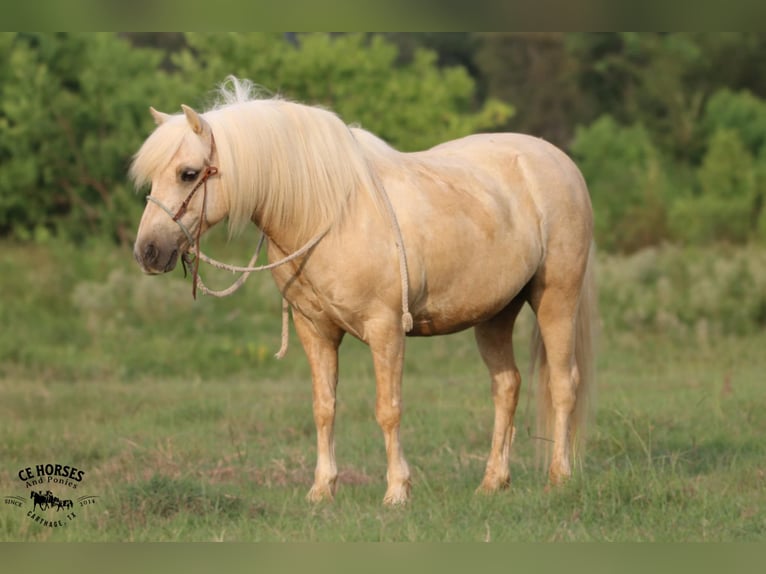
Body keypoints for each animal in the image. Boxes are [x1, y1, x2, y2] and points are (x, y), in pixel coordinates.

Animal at [131, 77, 596, 505]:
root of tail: (558, 160)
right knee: (507, 385)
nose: (147, 252)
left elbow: (388, 410)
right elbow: (324, 407)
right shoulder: (315, 330)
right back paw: (493, 482)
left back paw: (559, 478)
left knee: (562, 383)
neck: (327, 211)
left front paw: (396, 491)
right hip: (495, 313)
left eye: (188, 173)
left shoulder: (385, 329)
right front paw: (322, 489)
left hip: (556, 298)